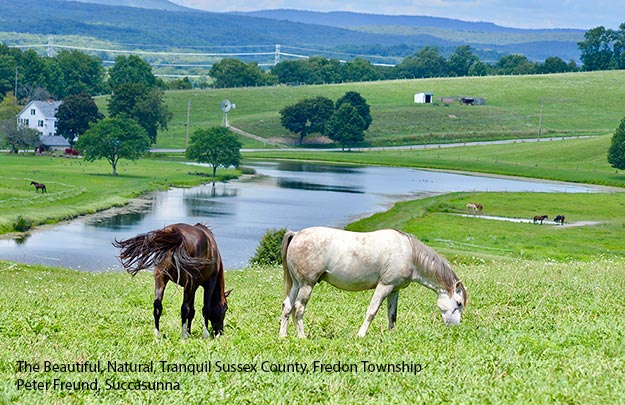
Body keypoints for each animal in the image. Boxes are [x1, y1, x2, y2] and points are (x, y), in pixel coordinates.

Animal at [280, 227, 466, 338]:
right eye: (458, 303)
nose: (455, 326)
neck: (409, 253)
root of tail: (296, 235)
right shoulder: (384, 286)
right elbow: (372, 311)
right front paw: (361, 335)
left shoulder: (394, 289)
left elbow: (392, 314)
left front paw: (391, 334)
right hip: (307, 284)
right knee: (298, 308)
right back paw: (302, 337)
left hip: (297, 284)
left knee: (287, 306)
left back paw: (283, 335)